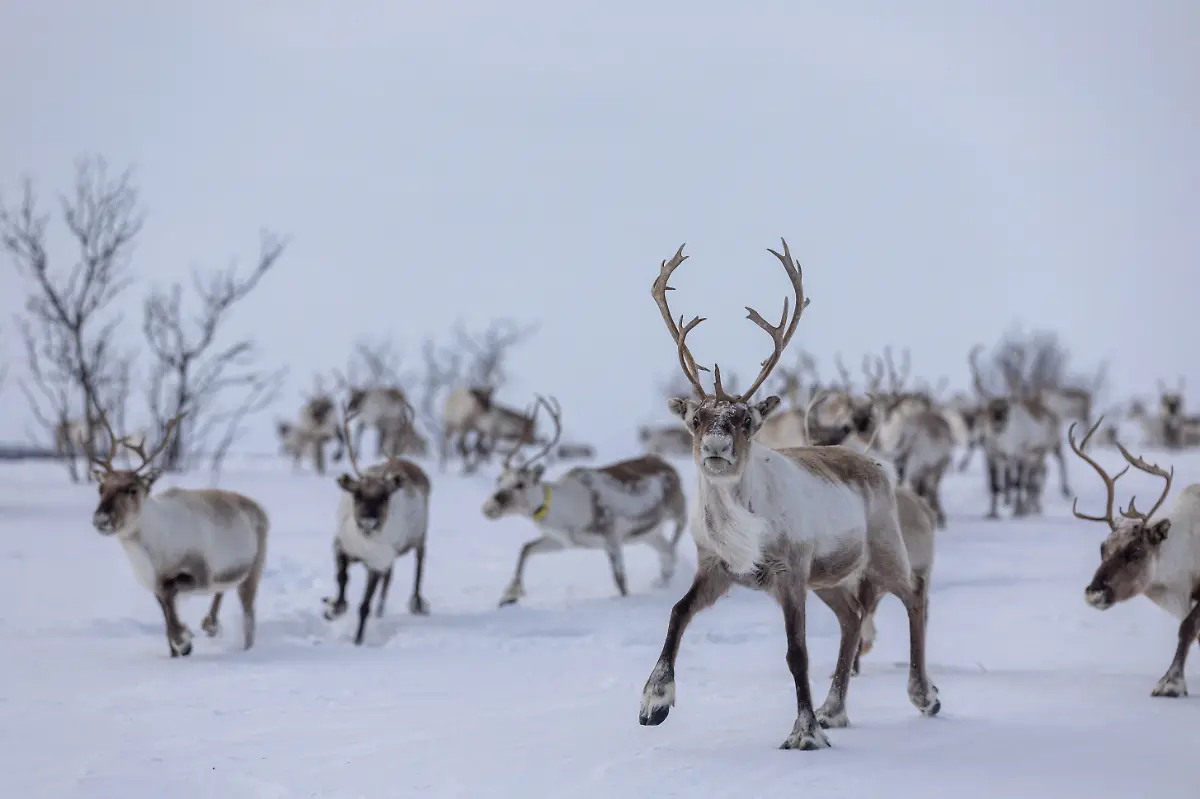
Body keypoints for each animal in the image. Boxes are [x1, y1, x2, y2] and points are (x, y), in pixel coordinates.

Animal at [88, 409, 269, 658]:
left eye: (132, 489)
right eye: (101, 488)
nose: (101, 520)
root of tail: (259, 508)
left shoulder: (199, 574)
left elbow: (170, 593)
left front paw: (183, 640)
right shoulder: (154, 584)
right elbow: (166, 608)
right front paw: (177, 648)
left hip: (252, 571)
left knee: (248, 615)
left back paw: (244, 648)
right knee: (222, 593)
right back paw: (210, 624)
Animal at [323, 400, 432, 646]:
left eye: (384, 497)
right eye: (357, 495)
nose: (368, 521)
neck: (363, 543)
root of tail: (409, 464)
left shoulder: (376, 563)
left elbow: (364, 605)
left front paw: (357, 640)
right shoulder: (340, 546)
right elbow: (342, 578)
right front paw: (334, 607)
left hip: (419, 539)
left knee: (418, 569)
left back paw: (415, 602)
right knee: (389, 580)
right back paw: (379, 611)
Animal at [482, 395, 688, 607]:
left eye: (520, 484)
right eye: (499, 479)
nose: (489, 507)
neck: (569, 509)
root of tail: (668, 466)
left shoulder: (611, 537)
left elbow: (620, 581)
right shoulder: (564, 541)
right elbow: (526, 548)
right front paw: (509, 596)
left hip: (679, 512)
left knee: (674, 545)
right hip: (649, 534)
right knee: (667, 553)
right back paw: (662, 581)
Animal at [638, 240, 939, 752]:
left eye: (745, 419)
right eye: (697, 419)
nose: (715, 448)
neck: (740, 525)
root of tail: (870, 461)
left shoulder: (790, 573)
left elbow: (796, 652)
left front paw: (804, 732)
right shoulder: (717, 568)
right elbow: (677, 613)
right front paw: (654, 702)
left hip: (881, 552)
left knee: (913, 594)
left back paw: (923, 696)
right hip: (830, 578)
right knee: (852, 616)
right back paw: (834, 709)